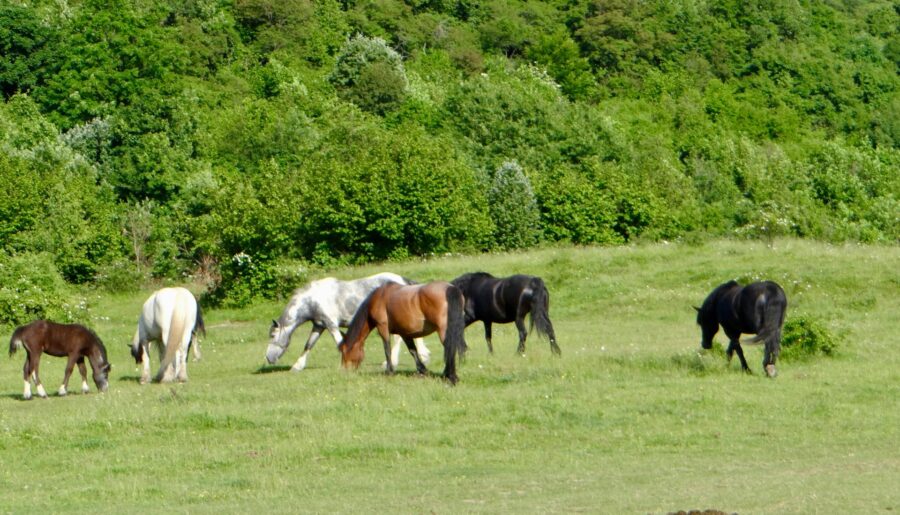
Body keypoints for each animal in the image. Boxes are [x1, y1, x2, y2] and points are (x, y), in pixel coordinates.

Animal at [266, 273, 430, 372]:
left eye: (272, 336)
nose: (268, 358)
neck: (313, 300)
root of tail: (403, 280)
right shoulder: (319, 326)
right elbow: (308, 345)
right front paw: (297, 366)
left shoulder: (331, 325)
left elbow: (340, 343)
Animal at [339, 281, 467, 385]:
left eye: (344, 351)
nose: (345, 370)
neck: (380, 297)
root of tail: (450, 288)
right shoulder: (405, 333)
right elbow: (413, 351)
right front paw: (422, 370)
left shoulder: (382, 327)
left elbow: (387, 349)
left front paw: (389, 371)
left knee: (450, 349)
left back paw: (450, 376)